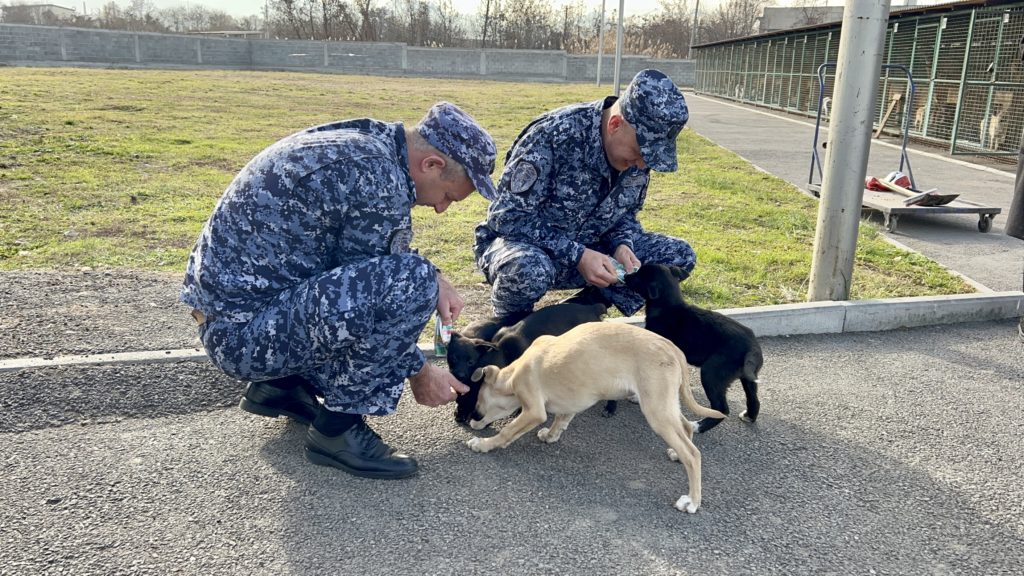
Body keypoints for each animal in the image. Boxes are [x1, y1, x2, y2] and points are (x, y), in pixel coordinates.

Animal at [468, 319, 724, 512]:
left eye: (477, 404)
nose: (471, 420)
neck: (513, 374)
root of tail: (672, 348)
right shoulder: (570, 402)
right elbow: (561, 419)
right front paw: (550, 435)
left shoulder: (533, 410)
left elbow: (507, 431)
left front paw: (483, 444)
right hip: (665, 404)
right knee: (687, 428)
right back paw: (676, 454)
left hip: (656, 409)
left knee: (693, 454)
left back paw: (692, 501)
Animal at [622, 264, 761, 430]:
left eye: (639, 276)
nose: (625, 276)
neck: (668, 306)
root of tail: (752, 346)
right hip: (748, 377)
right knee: (754, 400)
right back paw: (749, 416)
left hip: (711, 373)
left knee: (722, 408)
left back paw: (698, 426)